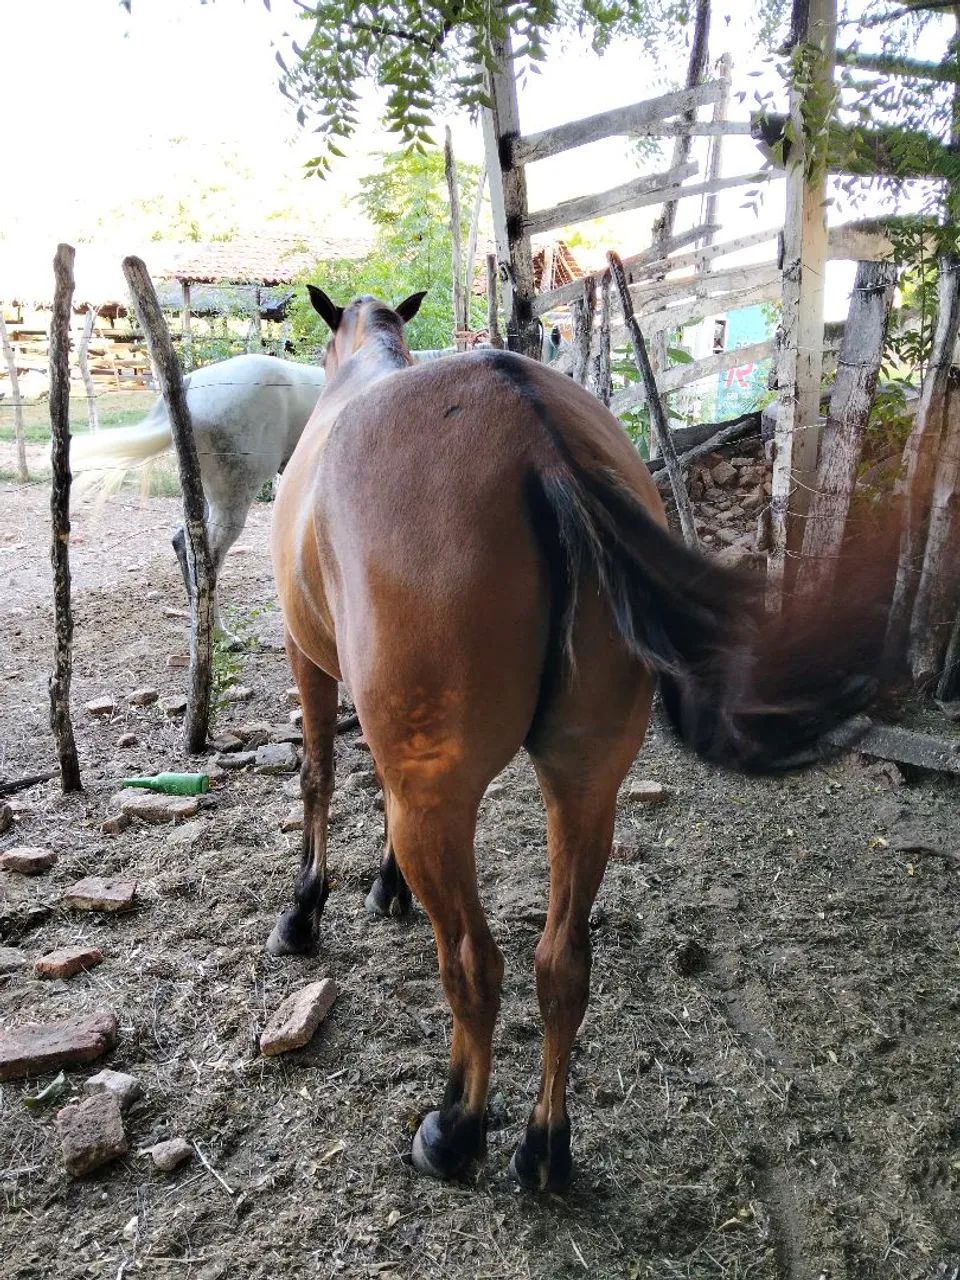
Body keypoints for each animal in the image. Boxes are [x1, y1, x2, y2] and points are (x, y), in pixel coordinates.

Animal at [268, 288, 882, 1192]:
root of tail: (534, 436)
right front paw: (387, 888)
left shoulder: (307, 656)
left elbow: (319, 776)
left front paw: (305, 911)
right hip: (586, 785)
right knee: (562, 963)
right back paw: (545, 1148)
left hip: (444, 796)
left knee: (475, 964)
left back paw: (456, 1130)